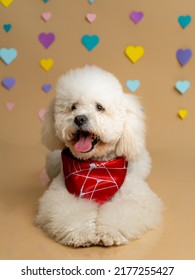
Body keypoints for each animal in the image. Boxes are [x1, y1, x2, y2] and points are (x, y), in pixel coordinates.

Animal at [35, 65, 163, 247]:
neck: (95, 168)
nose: (79, 118)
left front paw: (110, 231)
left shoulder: (136, 198)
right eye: (73, 107)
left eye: (100, 107)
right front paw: (81, 232)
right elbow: (70, 212)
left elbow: (124, 212)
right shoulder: (59, 196)